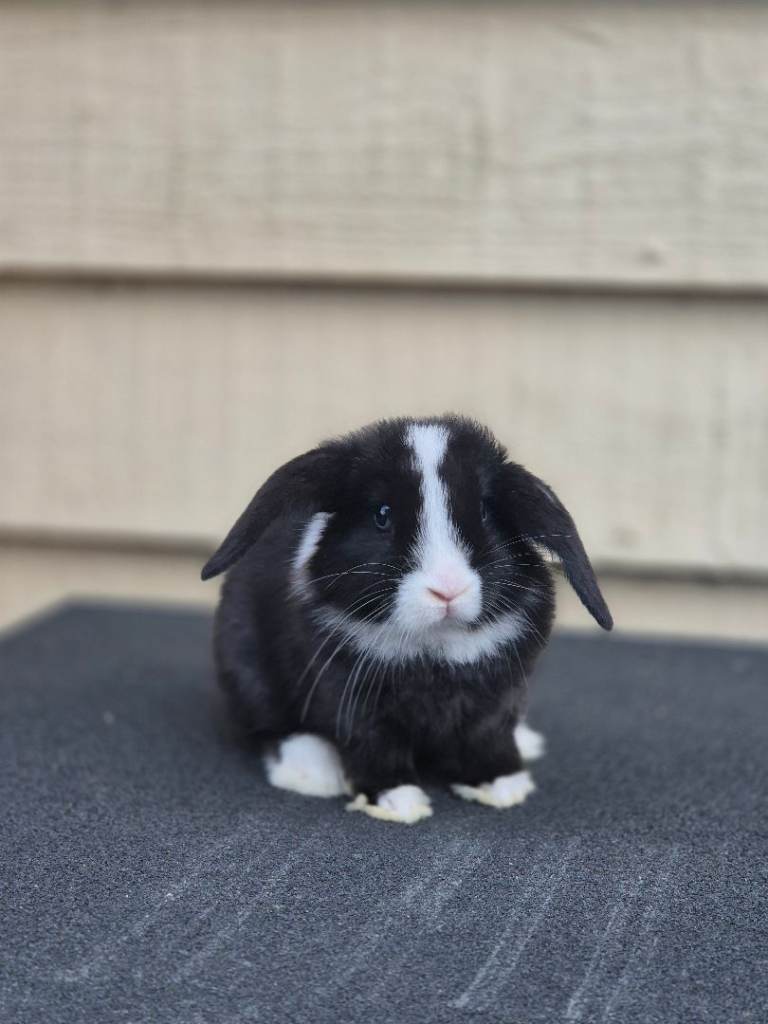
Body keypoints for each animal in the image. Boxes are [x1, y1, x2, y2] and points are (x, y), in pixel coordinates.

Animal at [202, 415, 612, 824]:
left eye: (484, 511)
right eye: (382, 515)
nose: (447, 589)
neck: (436, 643)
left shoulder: (499, 696)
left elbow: (487, 736)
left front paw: (502, 786)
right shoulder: (348, 693)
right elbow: (370, 742)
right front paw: (397, 800)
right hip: (247, 670)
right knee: (269, 728)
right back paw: (312, 769)